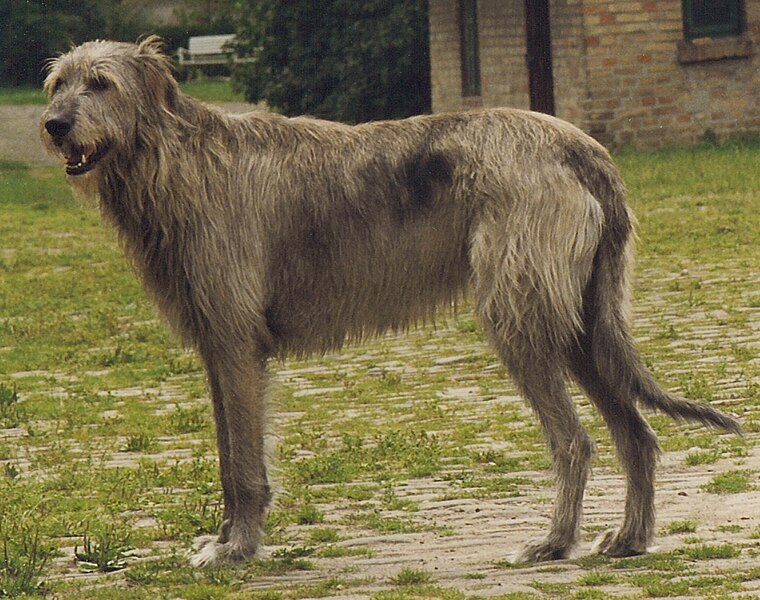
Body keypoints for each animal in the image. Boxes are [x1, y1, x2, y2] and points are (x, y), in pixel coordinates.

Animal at [41, 38, 744, 568]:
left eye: (100, 83)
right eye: (57, 84)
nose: (53, 126)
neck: (176, 161)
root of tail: (584, 146)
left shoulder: (237, 344)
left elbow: (242, 465)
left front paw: (235, 550)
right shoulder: (218, 348)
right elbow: (226, 453)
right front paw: (224, 540)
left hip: (521, 320)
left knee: (574, 441)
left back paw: (552, 543)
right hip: (579, 326)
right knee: (637, 434)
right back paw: (628, 540)